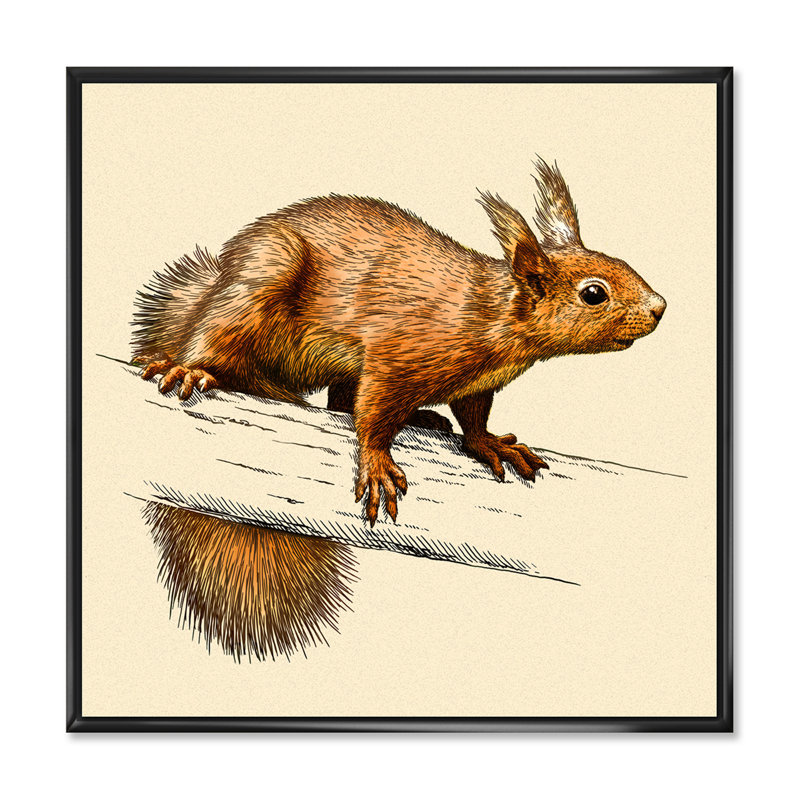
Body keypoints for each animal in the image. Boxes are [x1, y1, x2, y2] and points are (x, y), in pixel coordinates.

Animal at [132, 158, 666, 661]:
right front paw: (377, 465)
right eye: (593, 293)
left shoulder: (477, 383)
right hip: (261, 277)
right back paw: (192, 369)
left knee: (338, 400)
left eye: (623, 263)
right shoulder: (397, 353)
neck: (490, 316)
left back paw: (422, 417)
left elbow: (473, 416)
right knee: (218, 337)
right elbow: (373, 413)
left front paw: (489, 444)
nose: (660, 307)